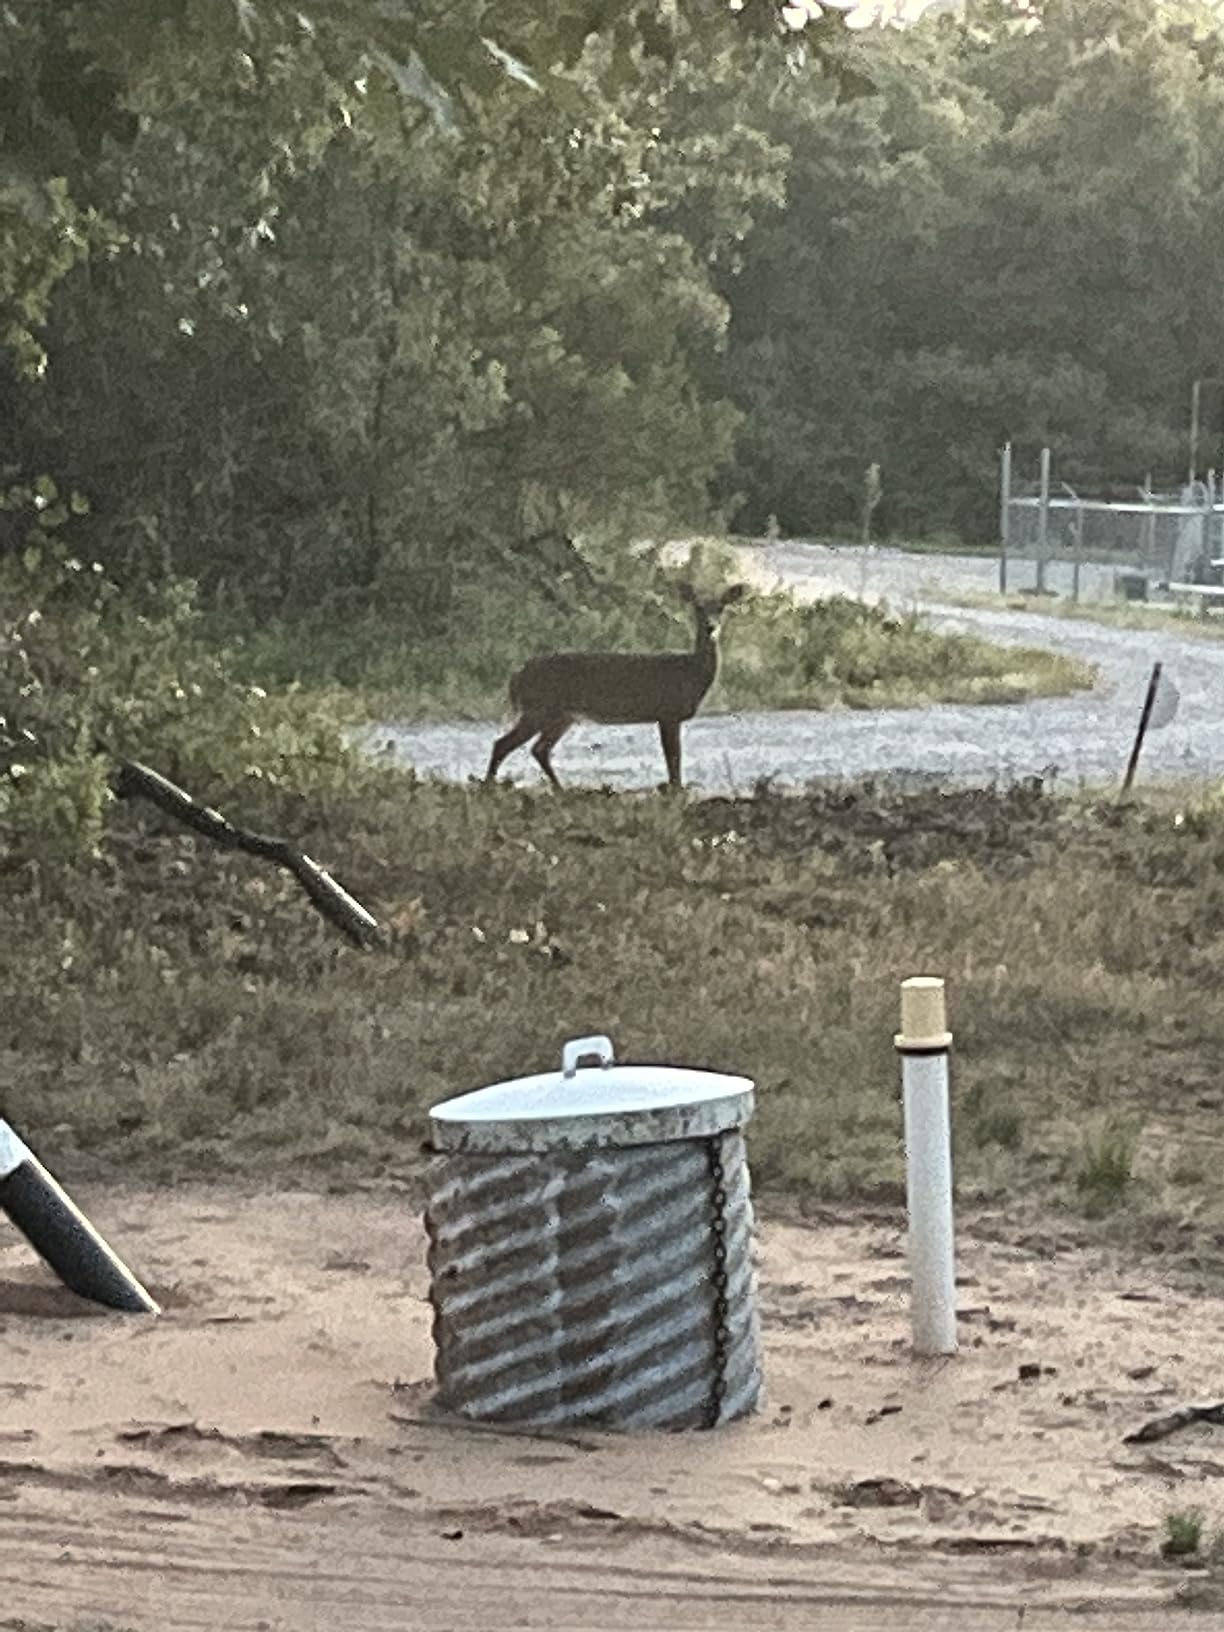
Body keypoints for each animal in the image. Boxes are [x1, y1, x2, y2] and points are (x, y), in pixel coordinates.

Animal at [484, 581, 748, 791]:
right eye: (697, 608)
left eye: (721, 608)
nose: (711, 627)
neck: (691, 674)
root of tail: (517, 676)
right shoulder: (668, 713)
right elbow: (673, 760)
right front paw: (677, 789)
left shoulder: (668, 715)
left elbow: (674, 760)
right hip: (540, 708)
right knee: (504, 744)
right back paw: (489, 785)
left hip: (561, 715)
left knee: (539, 749)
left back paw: (560, 788)